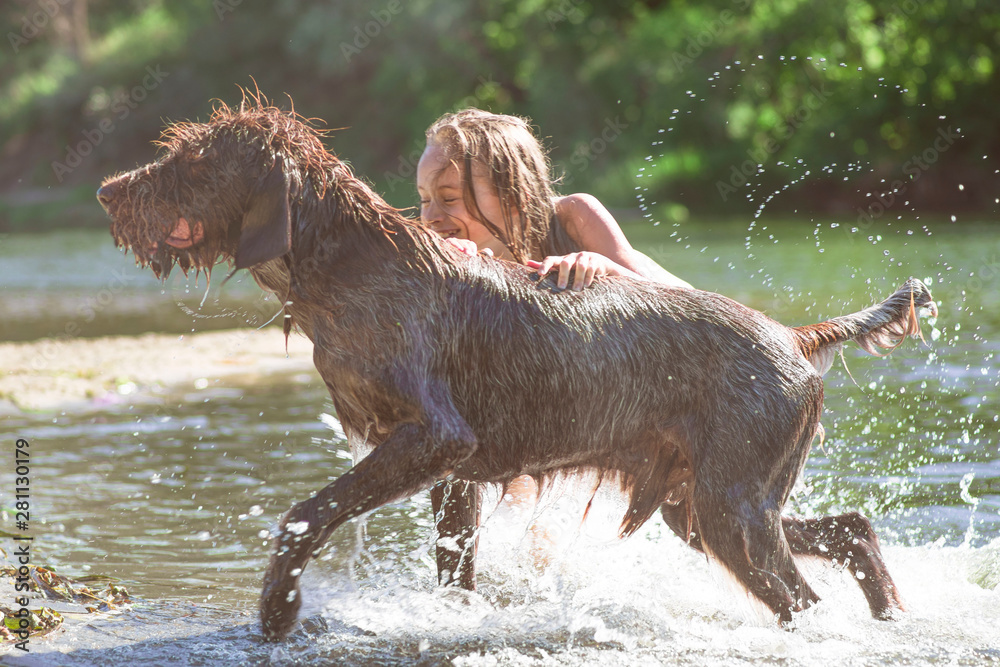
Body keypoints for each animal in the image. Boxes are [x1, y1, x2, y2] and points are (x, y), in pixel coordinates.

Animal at [97, 96, 932, 640]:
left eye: (190, 158)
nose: (107, 190)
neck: (341, 263)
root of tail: (794, 334)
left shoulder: (434, 436)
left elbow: (306, 513)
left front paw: (277, 608)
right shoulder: (449, 467)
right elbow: (452, 561)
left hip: (732, 509)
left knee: (804, 600)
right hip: (704, 501)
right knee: (851, 529)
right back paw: (892, 605)